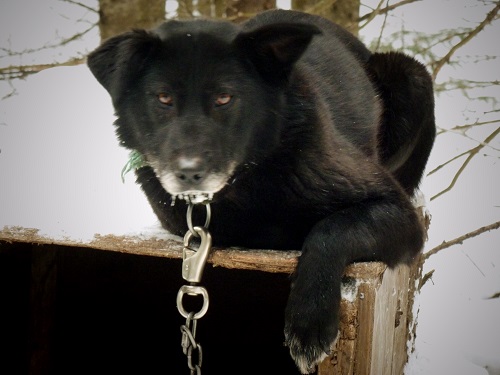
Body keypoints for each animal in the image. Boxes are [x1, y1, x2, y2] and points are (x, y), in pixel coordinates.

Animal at [89, 9, 434, 375]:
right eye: (163, 98)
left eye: (224, 98)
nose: (189, 172)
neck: (250, 175)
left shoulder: (396, 209)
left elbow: (332, 229)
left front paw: (309, 323)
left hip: (412, 76)